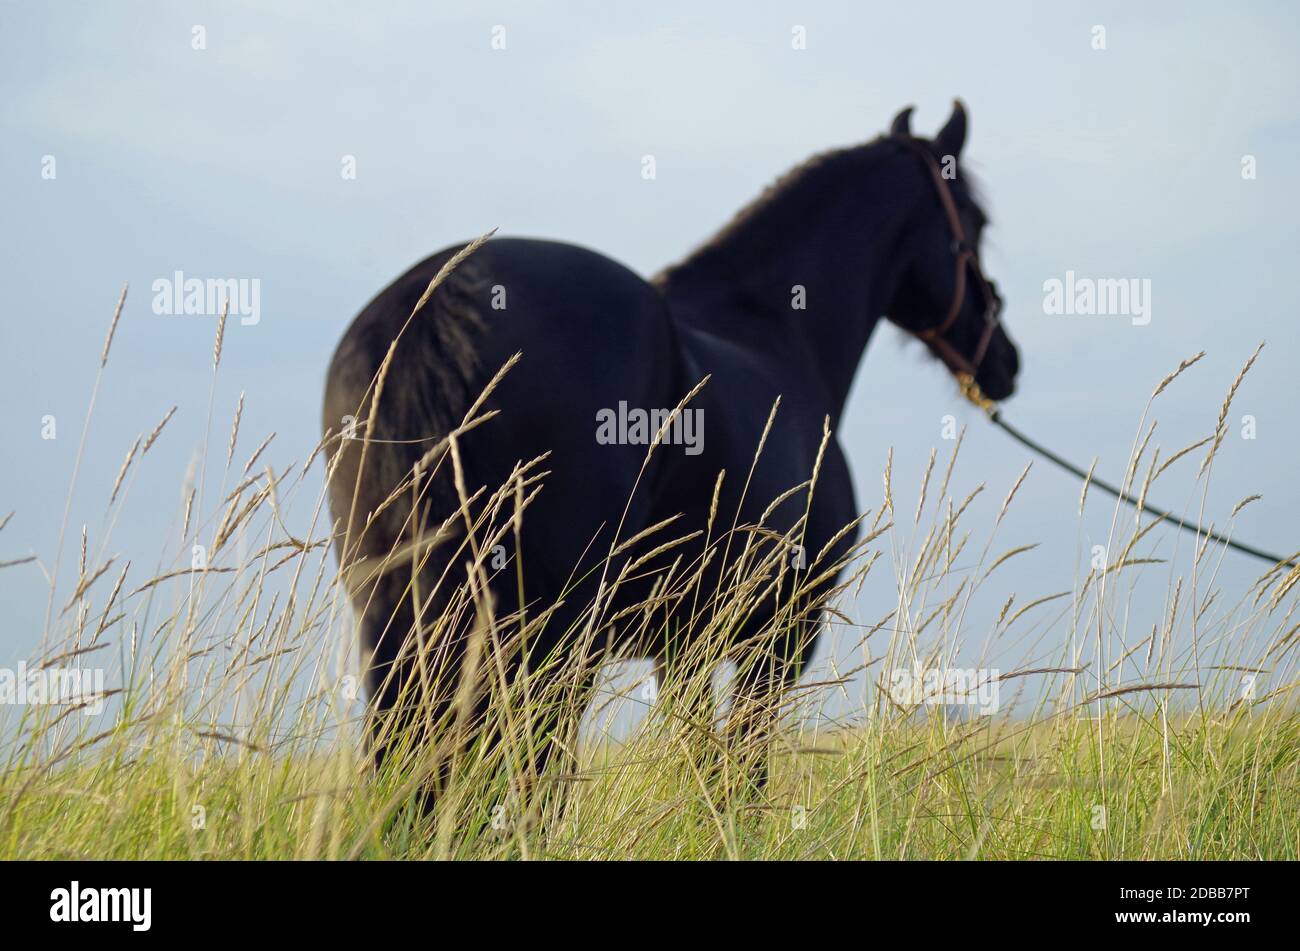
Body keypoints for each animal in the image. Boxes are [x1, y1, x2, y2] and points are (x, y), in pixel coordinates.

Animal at [322, 98, 1013, 810]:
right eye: (976, 222)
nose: (1003, 360)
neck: (776, 334)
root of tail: (439, 305)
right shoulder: (781, 635)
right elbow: (744, 775)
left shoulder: (683, 646)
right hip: (549, 641)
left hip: (399, 623)